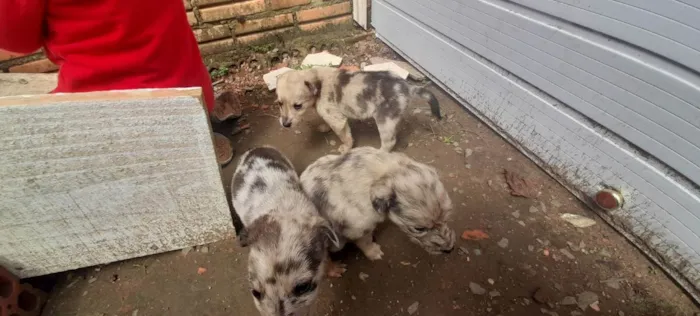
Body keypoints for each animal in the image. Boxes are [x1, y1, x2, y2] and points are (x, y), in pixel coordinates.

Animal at [276, 67, 440, 153]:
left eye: (297, 106)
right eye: (279, 103)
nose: (285, 125)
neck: (318, 84)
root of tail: (408, 87)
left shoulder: (338, 120)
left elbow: (345, 136)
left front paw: (346, 147)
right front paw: (324, 127)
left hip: (384, 121)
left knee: (389, 142)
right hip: (392, 119)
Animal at [300, 146, 454, 260]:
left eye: (447, 218)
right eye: (419, 229)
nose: (449, 250)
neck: (385, 172)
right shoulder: (359, 229)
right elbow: (365, 241)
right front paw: (373, 252)